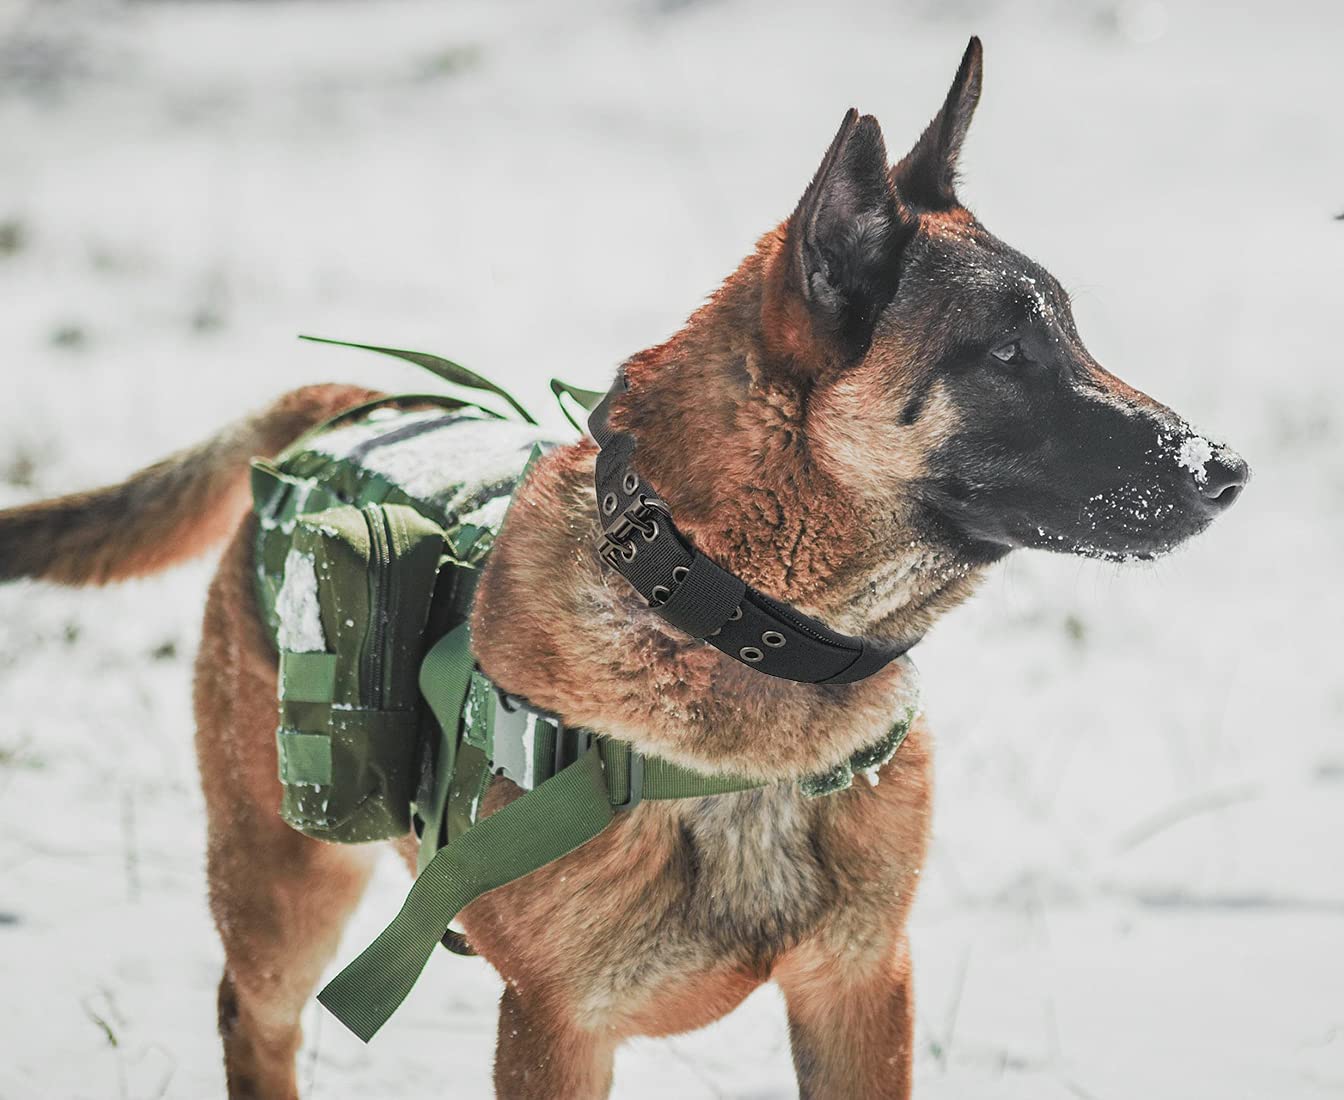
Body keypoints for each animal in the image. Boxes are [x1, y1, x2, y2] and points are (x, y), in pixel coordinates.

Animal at [0, 38, 1247, 1097]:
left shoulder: (857, 989)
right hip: (286, 882)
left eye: (1071, 333)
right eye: (1006, 353)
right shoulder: (559, 1022)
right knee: (252, 1013)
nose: (1228, 468)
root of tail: (350, 403)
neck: (733, 618)